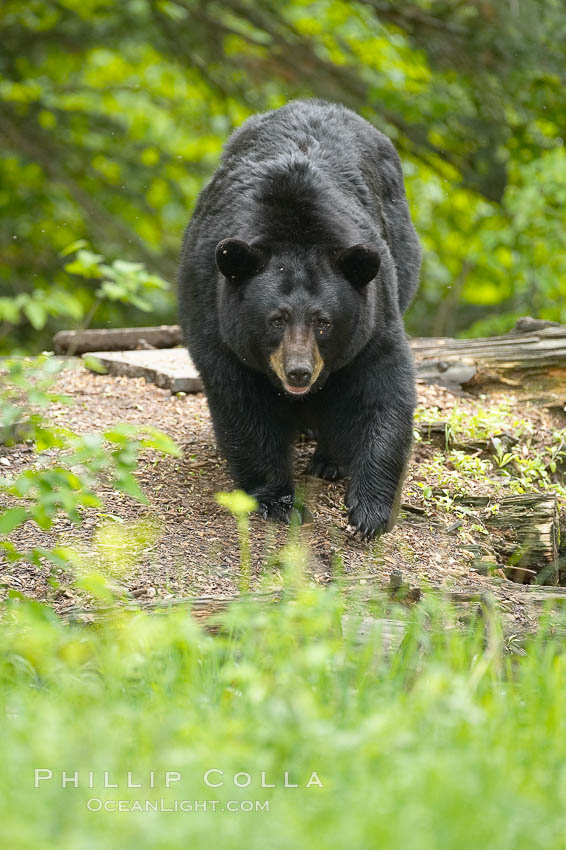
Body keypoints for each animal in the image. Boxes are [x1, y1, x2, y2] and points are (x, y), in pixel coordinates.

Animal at [180, 97, 424, 536]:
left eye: (323, 322)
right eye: (275, 319)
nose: (298, 372)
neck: (296, 228)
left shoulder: (374, 313)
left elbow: (383, 388)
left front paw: (369, 509)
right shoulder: (214, 314)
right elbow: (242, 405)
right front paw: (276, 498)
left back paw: (329, 458)